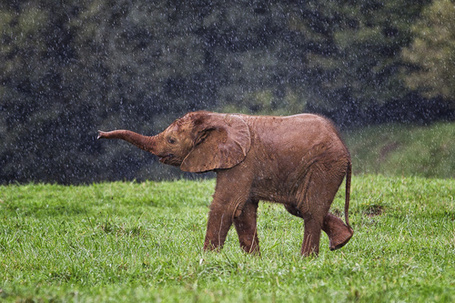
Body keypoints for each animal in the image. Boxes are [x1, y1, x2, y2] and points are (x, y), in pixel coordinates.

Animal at [98, 111, 354, 256]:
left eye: (171, 140)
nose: (99, 134)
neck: (216, 117)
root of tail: (344, 145)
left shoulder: (243, 161)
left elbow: (227, 205)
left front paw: (206, 259)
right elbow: (244, 211)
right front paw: (253, 261)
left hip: (325, 164)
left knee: (309, 208)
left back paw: (306, 259)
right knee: (297, 206)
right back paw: (342, 241)